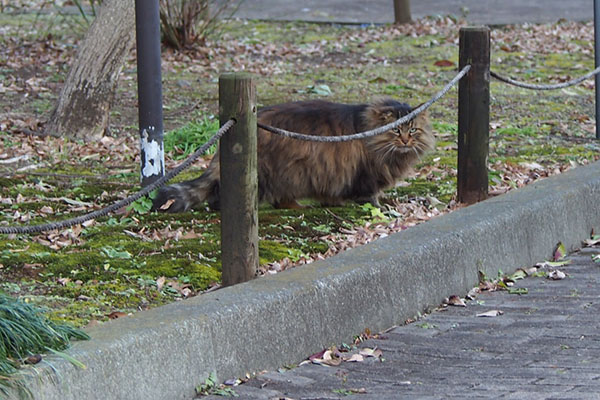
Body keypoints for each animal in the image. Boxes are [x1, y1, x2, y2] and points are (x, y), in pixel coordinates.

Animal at [152, 99, 434, 212]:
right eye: (396, 130)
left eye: (413, 130)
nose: (406, 141)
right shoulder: (367, 174)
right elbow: (369, 194)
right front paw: (376, 205)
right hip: (278, 174)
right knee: (223, 199)